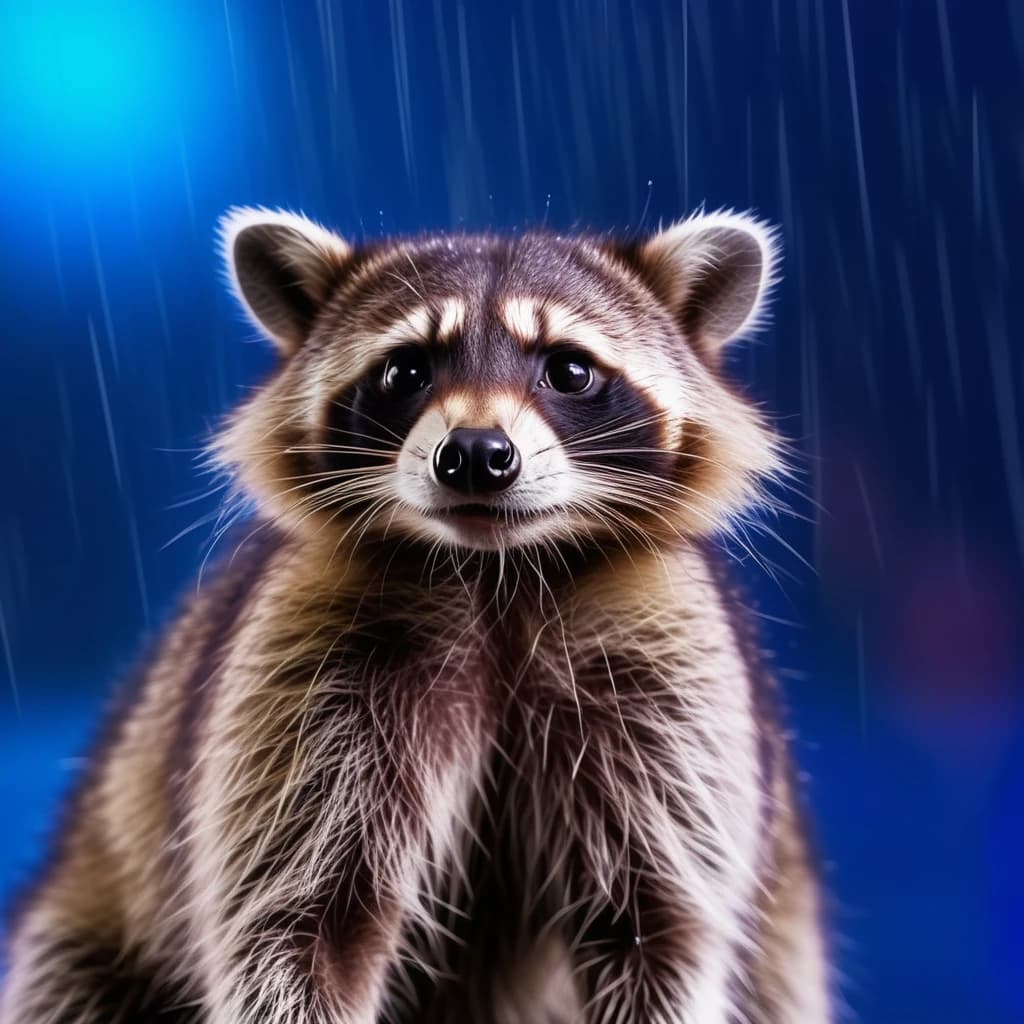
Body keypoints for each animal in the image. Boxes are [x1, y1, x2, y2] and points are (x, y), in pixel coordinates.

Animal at [1, 208, 832, 1023]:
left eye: (569, 369)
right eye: (405, 370)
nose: (476, 454)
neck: (497, 574)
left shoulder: (663, 665)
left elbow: (659, 926)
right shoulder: (307, 663)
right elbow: (291, 927)